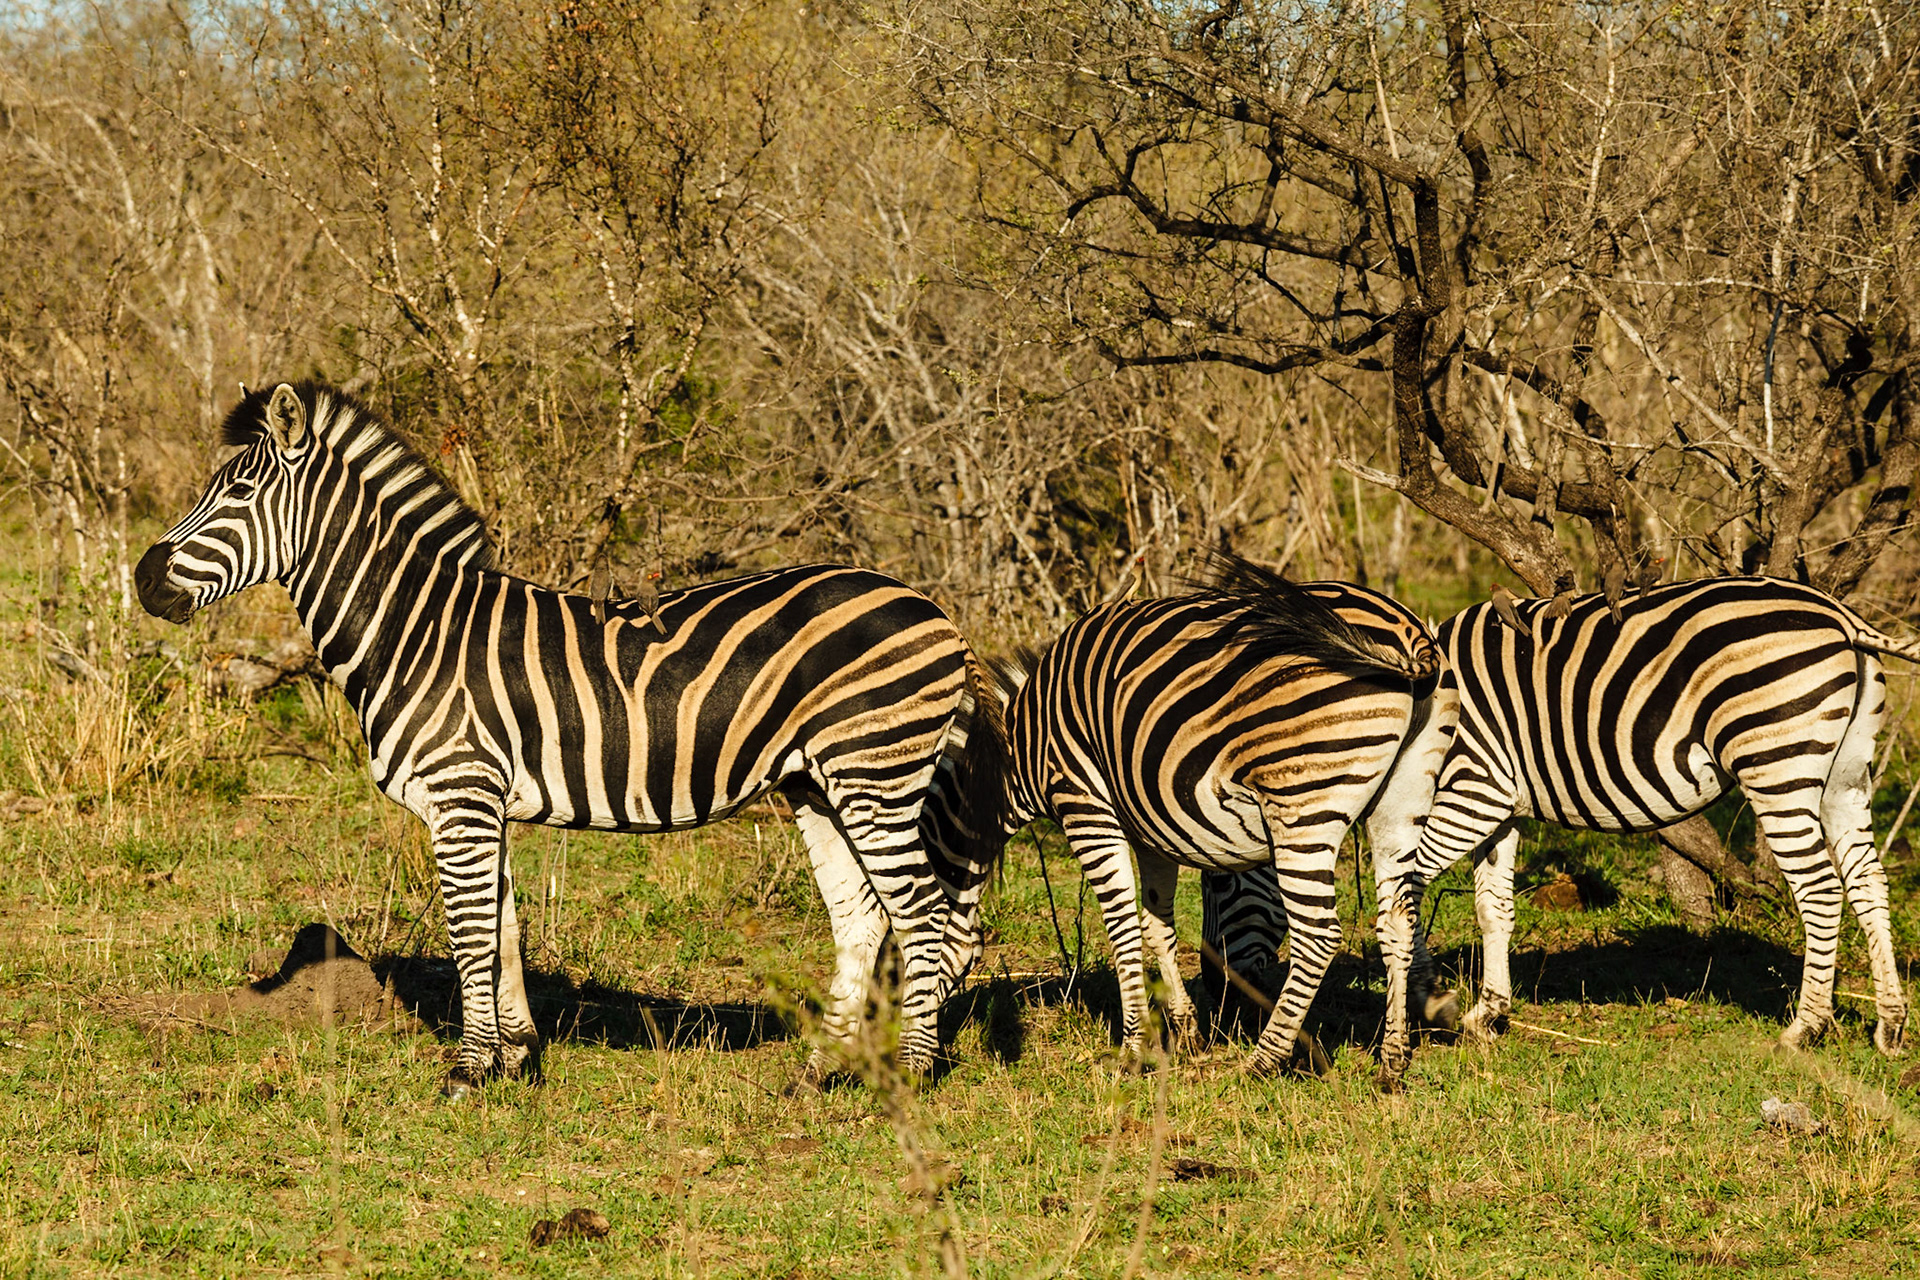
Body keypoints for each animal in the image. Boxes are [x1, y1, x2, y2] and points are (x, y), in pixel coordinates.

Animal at [135, 381, 1005, 1095]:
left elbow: (470, 934)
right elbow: (504, 927)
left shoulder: (460, 795)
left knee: (929, 916)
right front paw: (516, 1055)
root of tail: (936, 610)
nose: (142, 580)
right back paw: (819, 1071)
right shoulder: (483, 802)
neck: (416, 631)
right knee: (863, 917)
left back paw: (914, 1071)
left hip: (876, 773)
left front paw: (466, 1072)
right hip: (818, 783)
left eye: (239, 490)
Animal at [987, 554, 1453, 1075]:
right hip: (1402, 799)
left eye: (1221, 884)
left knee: (1317, 935)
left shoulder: (1084, 801)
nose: (1215, 985)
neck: (1024, 744)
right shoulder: (1148, 827)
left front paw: (1131, 1050)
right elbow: (1156, 924)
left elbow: (1123, 923)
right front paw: (1187, 1032)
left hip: (1301, 796)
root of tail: (1410, 639)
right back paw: (1393, 1060)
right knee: (1398, 919)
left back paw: (1263, 1060)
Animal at [1205, 577, 1914, 1085]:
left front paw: (1427, 1004)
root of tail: (1842, 617)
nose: (1222, 1002)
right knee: (1868, 881)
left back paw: (1805, 1028)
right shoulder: (1499, 807)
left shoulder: (1474, 790)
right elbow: (1492, 907)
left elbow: (1409, 890)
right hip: (1845, 775)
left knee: (1821, 891)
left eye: (1222, 885)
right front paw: (1485, 1012)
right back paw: (1890, 1025)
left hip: (1777, 761)